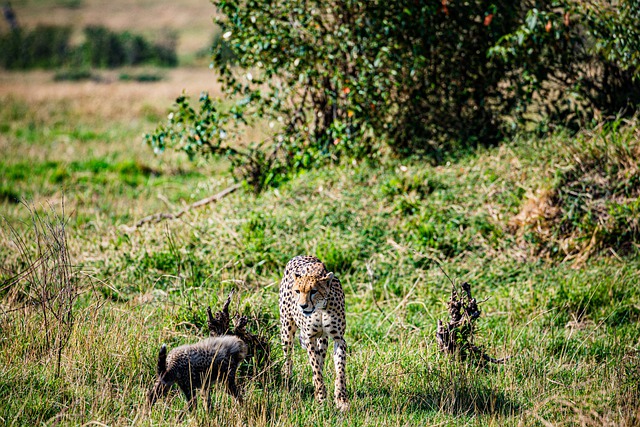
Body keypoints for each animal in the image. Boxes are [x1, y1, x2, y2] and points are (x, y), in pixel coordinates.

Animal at [280, 256, 350, 412]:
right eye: (297, 291)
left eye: (313, 291)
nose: (302, 306)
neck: (320, 309)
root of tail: (299, 256)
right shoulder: (309, 338)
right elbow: (316, 369)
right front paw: (321, 398)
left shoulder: (339, 339)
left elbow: (340, 371)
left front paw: (341, 400)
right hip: (286, 329)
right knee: (288, 358)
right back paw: (287, 382)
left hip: (323, 339)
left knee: (321, 357)